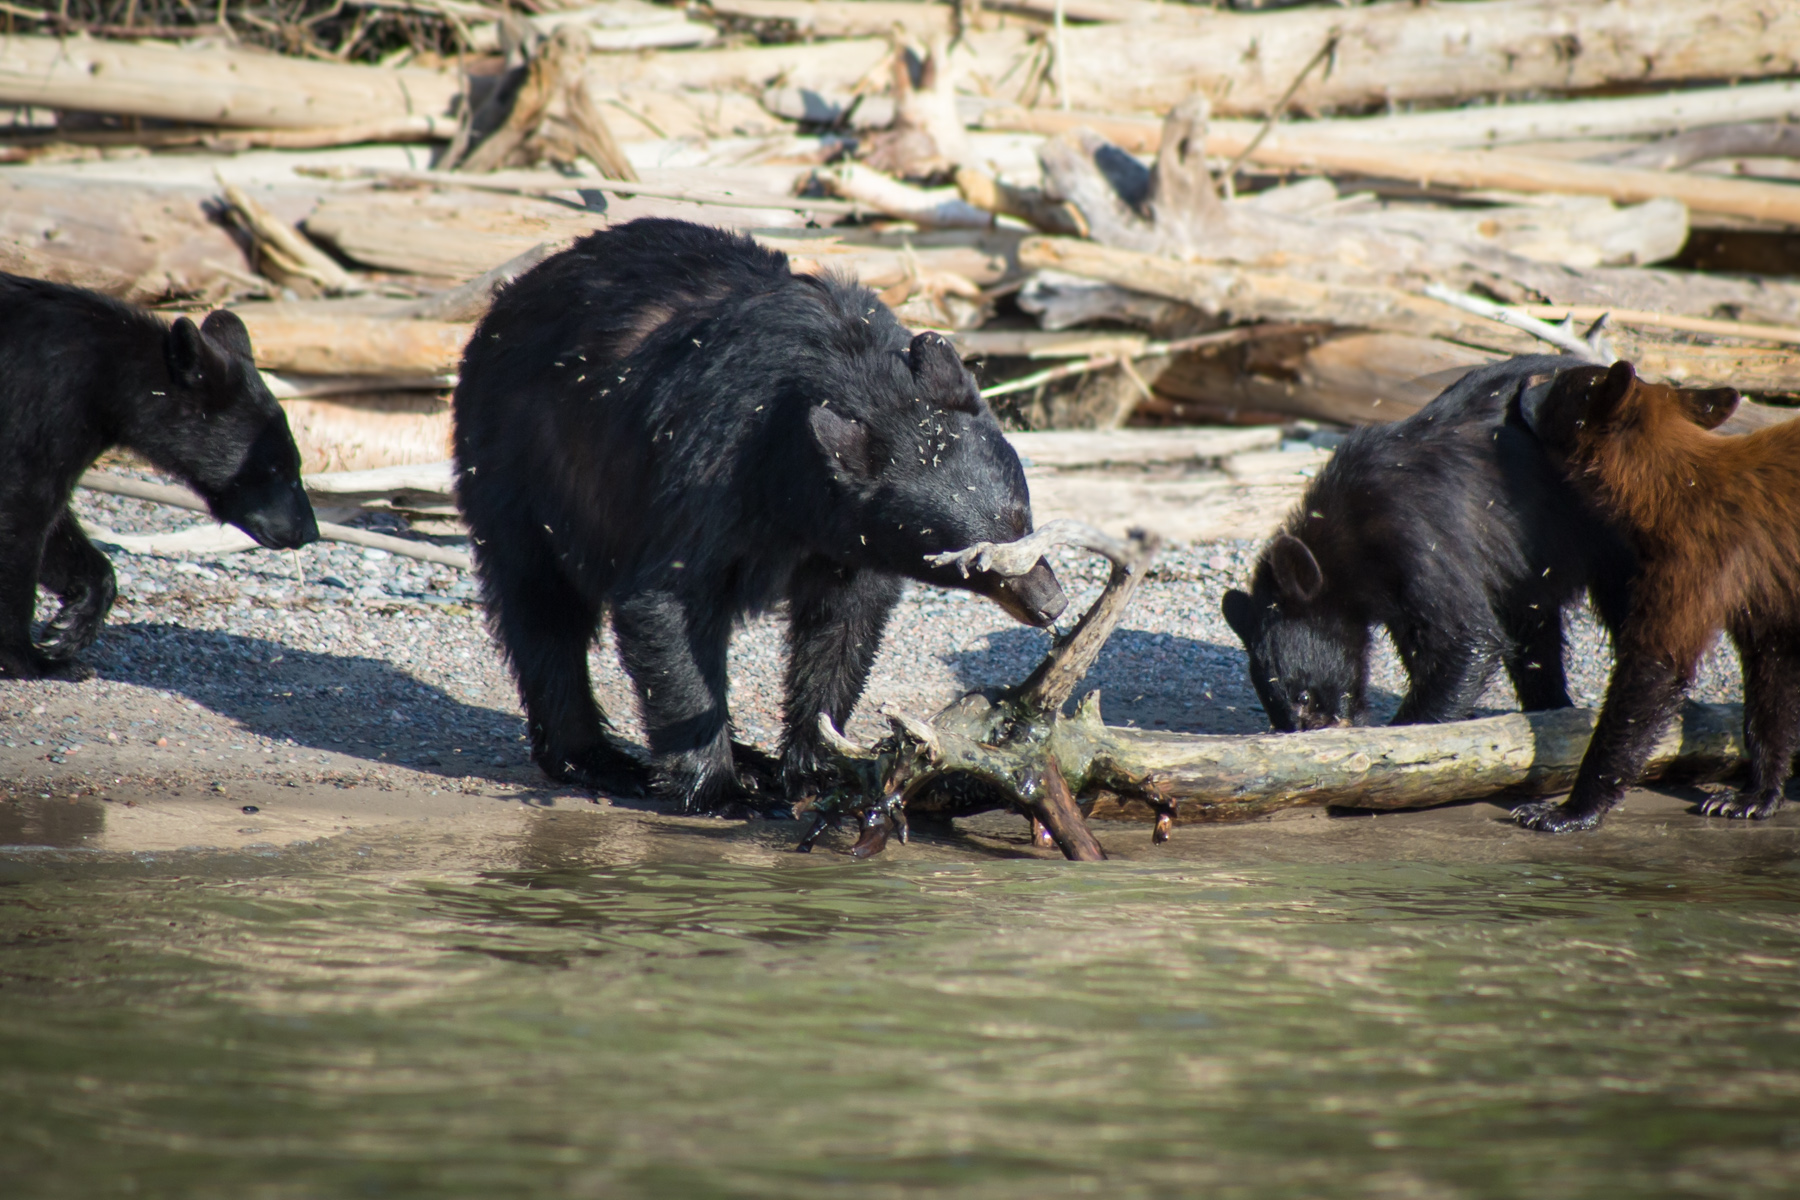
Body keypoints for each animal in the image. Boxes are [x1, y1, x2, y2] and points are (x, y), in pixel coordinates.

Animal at [0, 275, 320, 680]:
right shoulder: (43, 407)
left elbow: (52, 526)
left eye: (293, 462)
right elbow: (23, 510)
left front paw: (70, 627)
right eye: (278, 466)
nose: (309, 529)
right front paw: (31, 658)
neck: (112, 380)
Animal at [453, 220, 1065, 813]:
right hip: (519, 460)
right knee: (542, 606)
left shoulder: (849, 533)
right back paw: (596, 758)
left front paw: (817, 766)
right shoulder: (710, 464)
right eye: (970, 559)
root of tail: (511, 296)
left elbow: (844, 622)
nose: (1050, 604)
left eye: (1021, 518)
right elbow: (668, 600)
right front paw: (720, 790)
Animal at [1216, 356, 1648, 734]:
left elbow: (1466, 640)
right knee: (1535, 637)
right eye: (1275, 708)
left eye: (1302, 696)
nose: (1308, 729)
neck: (1347, 532)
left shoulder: (1421, 536)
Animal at [1512, 361, 1778, 831]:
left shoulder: (1701, 556)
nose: (1526, 381)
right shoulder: (1761, 584)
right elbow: (1772, 665)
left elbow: (1657, 664)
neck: (1676, 483)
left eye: (1559, 383)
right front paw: (1752, 796)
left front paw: (1567, 810)